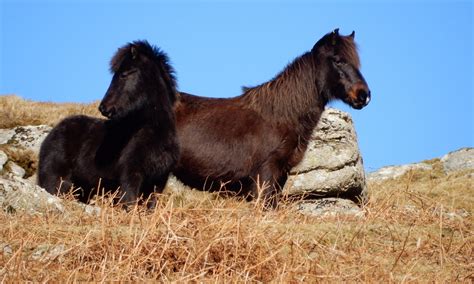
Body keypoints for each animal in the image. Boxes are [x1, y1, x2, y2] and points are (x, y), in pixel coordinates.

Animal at [38, 41, 179, 206]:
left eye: (124, 74)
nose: (104, 108)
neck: (155, 133)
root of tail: (51, 134)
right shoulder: (130, 177)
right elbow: (129, 204)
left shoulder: (157, 182)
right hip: (56, 182)